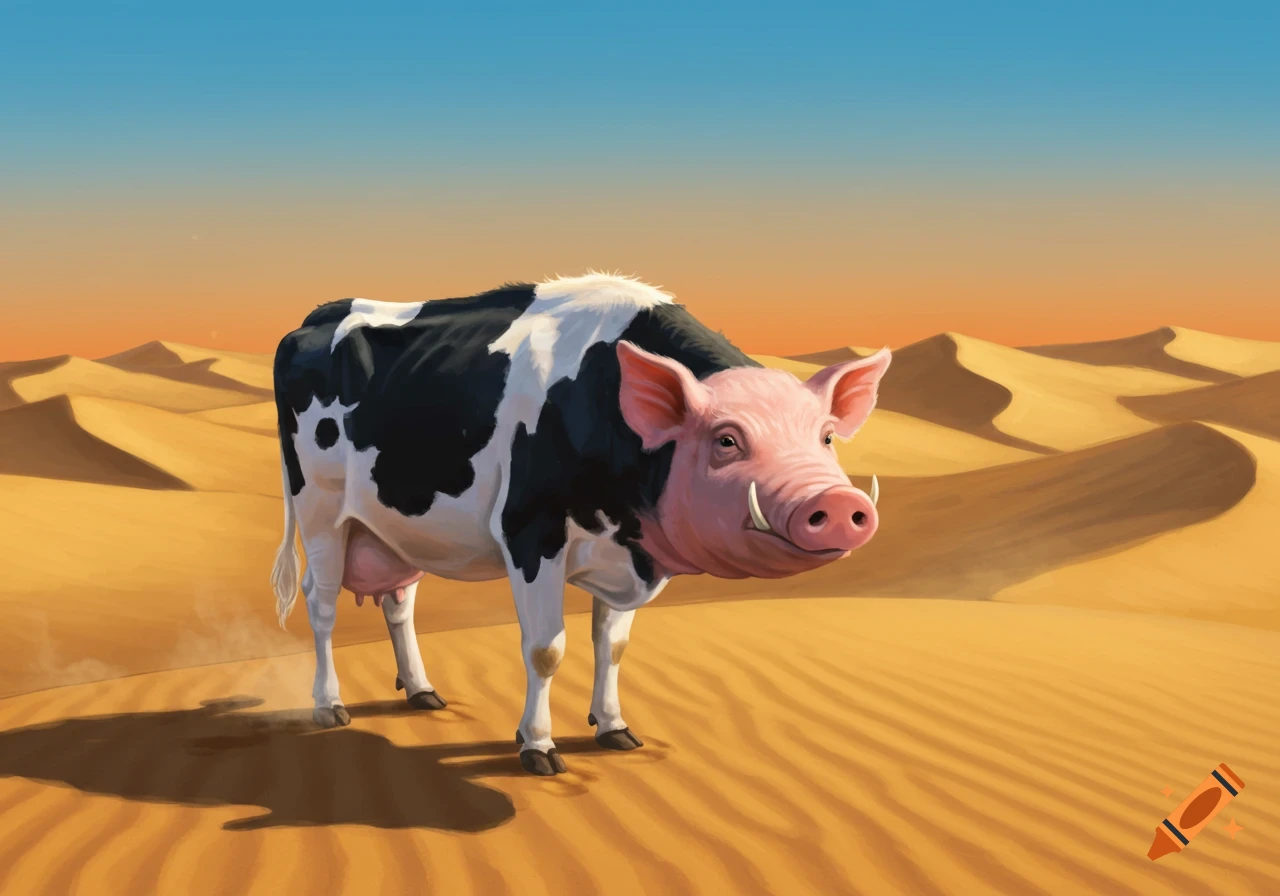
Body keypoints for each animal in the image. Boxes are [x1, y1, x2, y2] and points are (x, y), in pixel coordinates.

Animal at [270, 273, 890, 776]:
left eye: (827, 436)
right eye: (727, 439)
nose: (837, 504)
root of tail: (315, 317)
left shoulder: (626, 549)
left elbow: (611, 646)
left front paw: (613, 726)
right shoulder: (530, 532)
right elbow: (546, 648)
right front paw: (538, 745)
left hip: (394, 526)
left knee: (399, 602)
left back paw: (421, 690)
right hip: (321, 511)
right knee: (321, 604)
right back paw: (329, 704)